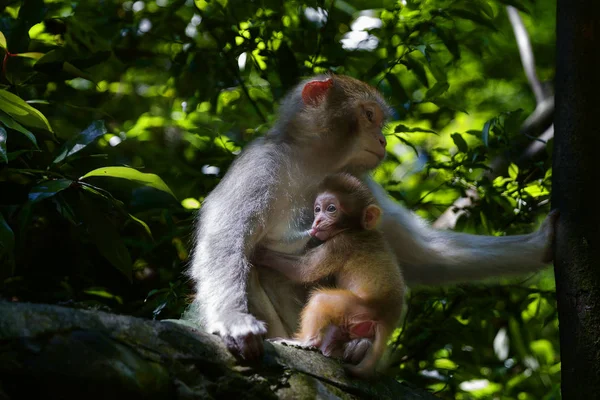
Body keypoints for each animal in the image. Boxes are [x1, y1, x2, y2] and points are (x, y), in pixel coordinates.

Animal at [260, 173, 406, 378]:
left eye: (331, 209)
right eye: (317, 209)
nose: (316, 222)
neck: (355, 229)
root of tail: (387, 321)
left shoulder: (340, 244)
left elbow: (305, 270)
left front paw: (262, 254)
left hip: (357, 309)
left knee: (321, 300)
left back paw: (305, 342)